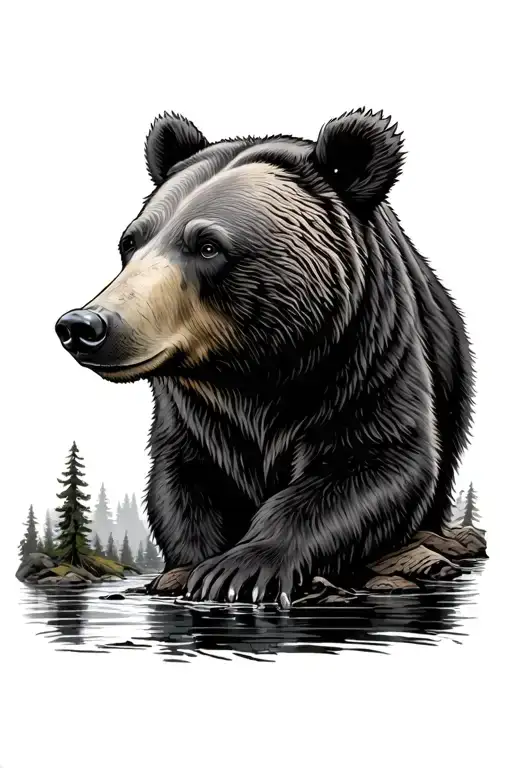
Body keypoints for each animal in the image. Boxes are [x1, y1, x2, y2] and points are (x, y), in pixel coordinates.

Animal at [55, 108, 474, 608]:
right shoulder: (194, 413)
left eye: (207, 245)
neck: (259, 367)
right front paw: (188, 570)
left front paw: (239, 570)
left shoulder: (367, 357)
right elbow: (184, 481)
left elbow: (377, 461)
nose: (84, 325)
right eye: (130, 243)